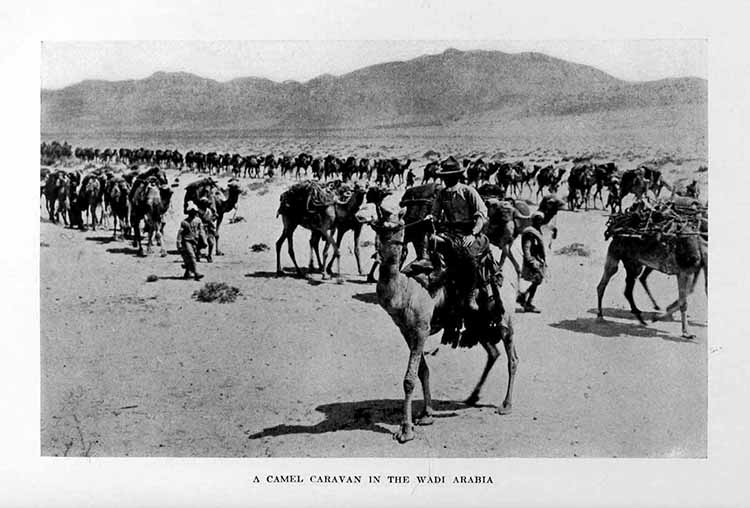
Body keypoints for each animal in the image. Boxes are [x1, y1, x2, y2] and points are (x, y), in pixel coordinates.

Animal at [356, 196, 520, 442]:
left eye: (389, 211)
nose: (360, 213)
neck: (406, 288)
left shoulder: (421, 328)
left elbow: (409, 379)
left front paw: (406, 430)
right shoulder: (407, 329)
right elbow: (422, 371)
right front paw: (426, 414)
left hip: (504, 318)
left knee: (512, 357)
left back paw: (506, 405)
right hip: (477, 322)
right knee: (493, 352)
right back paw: (472, 397)